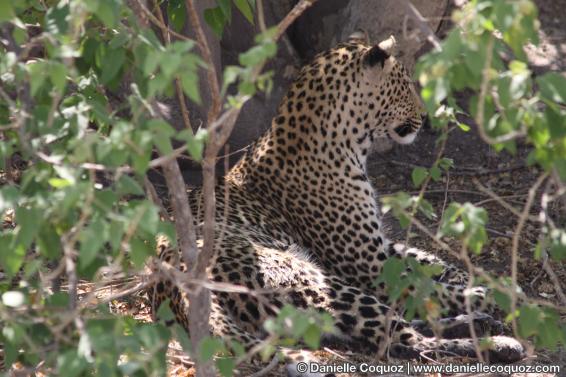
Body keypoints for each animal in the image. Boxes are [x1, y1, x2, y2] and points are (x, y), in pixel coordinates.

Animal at [149, 33, 524, 374]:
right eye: (405, 85)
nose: (425, 116)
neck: (349, 143)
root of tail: (172, 286)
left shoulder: (378, 246)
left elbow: (426, 260)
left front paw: (471, 277)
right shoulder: (368, 264)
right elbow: (426, 286)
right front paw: (498, 293)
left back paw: (483, 323)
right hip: (313, 279)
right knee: (407, 341)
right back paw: (497, 340)